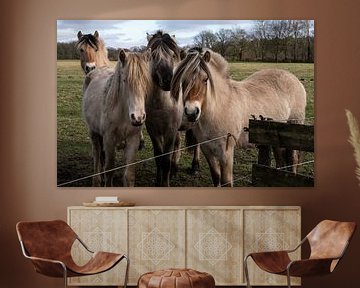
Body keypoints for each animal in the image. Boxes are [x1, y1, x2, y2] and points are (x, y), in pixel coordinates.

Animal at [82, 49, 151, 187]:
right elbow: (109, 171)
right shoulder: (109, 140)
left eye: (146, 81)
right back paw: (97, 181)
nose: (138, 117)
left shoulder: (133, 139)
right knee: (97, 154)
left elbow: (129, 176)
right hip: (93, 132)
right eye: (125, 80)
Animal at [170, 47, 306, 187]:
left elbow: (226, 182)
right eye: (183, 80)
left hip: (294, 127)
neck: (220, 108)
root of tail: (293, 78)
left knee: (293, 158)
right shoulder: (207, 150)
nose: (191, 112)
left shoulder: (226, 152)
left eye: (205, 79)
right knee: (280, 160)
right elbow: (216, 178)